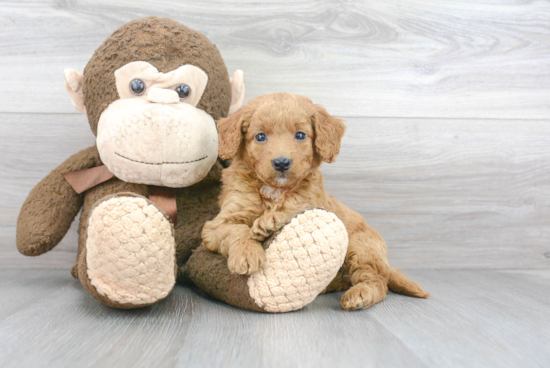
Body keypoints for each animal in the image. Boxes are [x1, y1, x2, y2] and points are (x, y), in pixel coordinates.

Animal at [203, 92, 432, 310]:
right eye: (260, 136)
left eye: (300, 135)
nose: (282, 163)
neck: (276, 190)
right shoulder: (218, 223)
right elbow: (237, 229)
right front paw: (247, 254)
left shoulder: (312, 205)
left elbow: (294, 210)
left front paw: (270, 221)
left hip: (360, 246)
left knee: (376, 280)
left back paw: (360, 295)